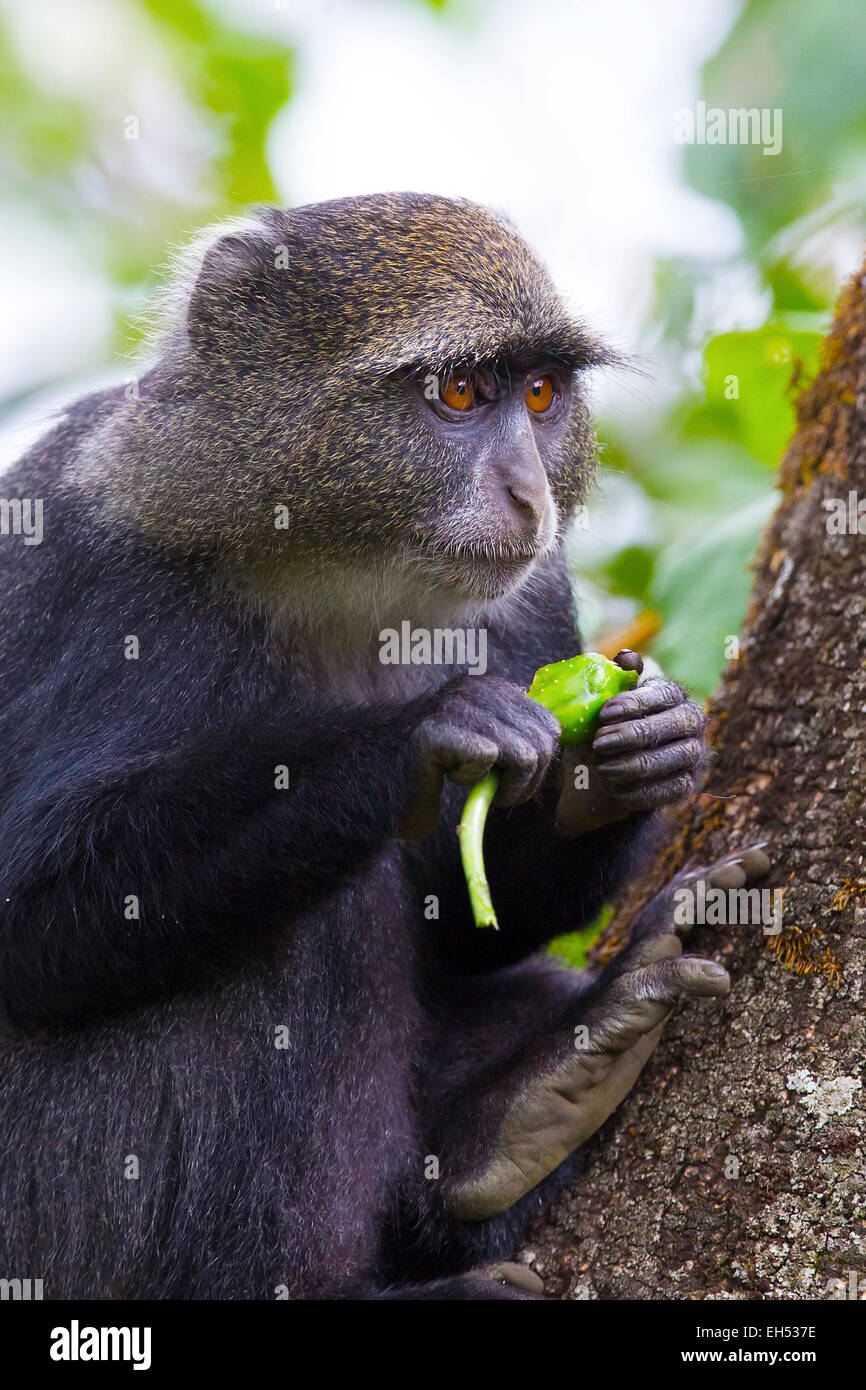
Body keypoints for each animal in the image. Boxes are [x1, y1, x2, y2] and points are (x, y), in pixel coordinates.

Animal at [0, 192, 770, 1299]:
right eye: (459, 391)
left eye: (540, 394)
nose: (531, 496)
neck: (338, 571)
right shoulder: (86, 564)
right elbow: (29, 916)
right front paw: (424, 737)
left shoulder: (532, 592)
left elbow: (471, 926)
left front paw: (624, 756)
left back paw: (520, 1115)